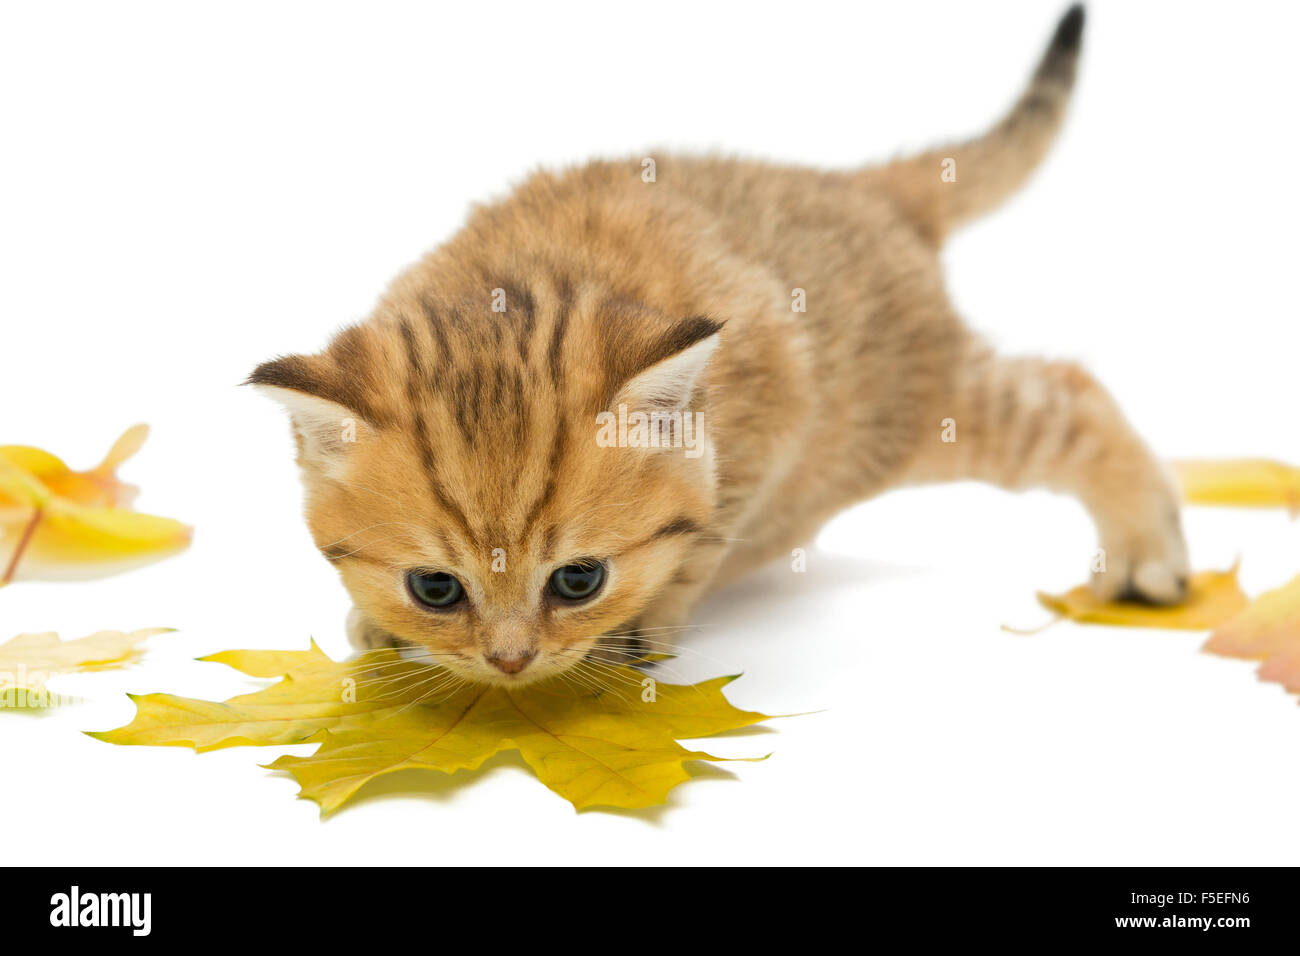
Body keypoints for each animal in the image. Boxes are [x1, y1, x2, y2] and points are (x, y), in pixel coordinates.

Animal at [245, 3, 1190, 686]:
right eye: (435, 589)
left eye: (578, 581)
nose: (510, 662)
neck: (521, 283)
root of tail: (860, 191)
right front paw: (378, 628)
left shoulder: (778, 407)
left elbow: (707, 531)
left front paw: (642, 624)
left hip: (918, 417)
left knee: (1071, 395)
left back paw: (1147, 555)